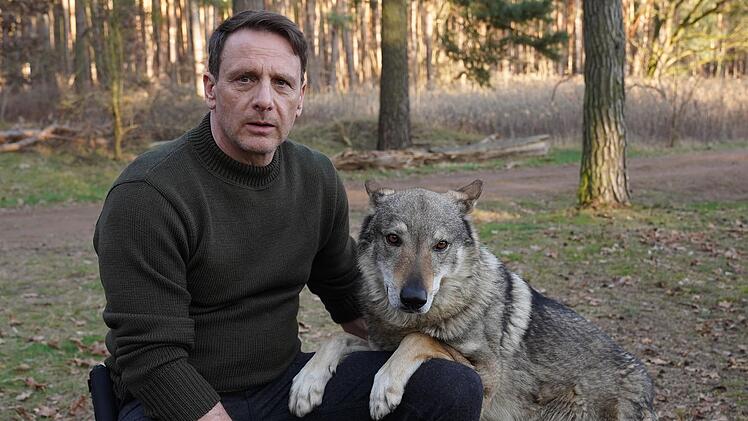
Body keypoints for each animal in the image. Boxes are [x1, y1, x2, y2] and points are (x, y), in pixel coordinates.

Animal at [289, 180, 656, 421]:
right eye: (393, 239)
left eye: (440, 245)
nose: (413, 299)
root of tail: (647, 386)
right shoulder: (378, 344)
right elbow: (336, 338)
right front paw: (306, 384)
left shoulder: (486, 376)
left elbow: (418, 339)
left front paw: (385, 386)